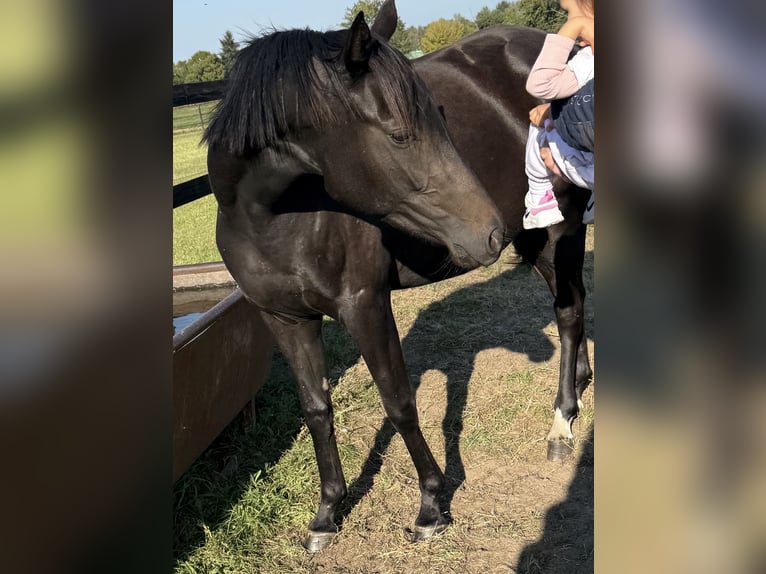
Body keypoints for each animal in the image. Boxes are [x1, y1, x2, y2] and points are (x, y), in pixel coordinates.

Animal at [203, 0, 592, 551]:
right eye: (399, 136)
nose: (489, 232)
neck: (273, 219)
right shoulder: (284, 318)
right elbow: (316, 408)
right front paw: (327, 513)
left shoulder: (365, 304)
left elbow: (399, 402)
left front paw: (431, 504)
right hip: (537, 239)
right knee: (574, 306)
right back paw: (578, 389)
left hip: (558, 229)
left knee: (569, 313)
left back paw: (561, 424)